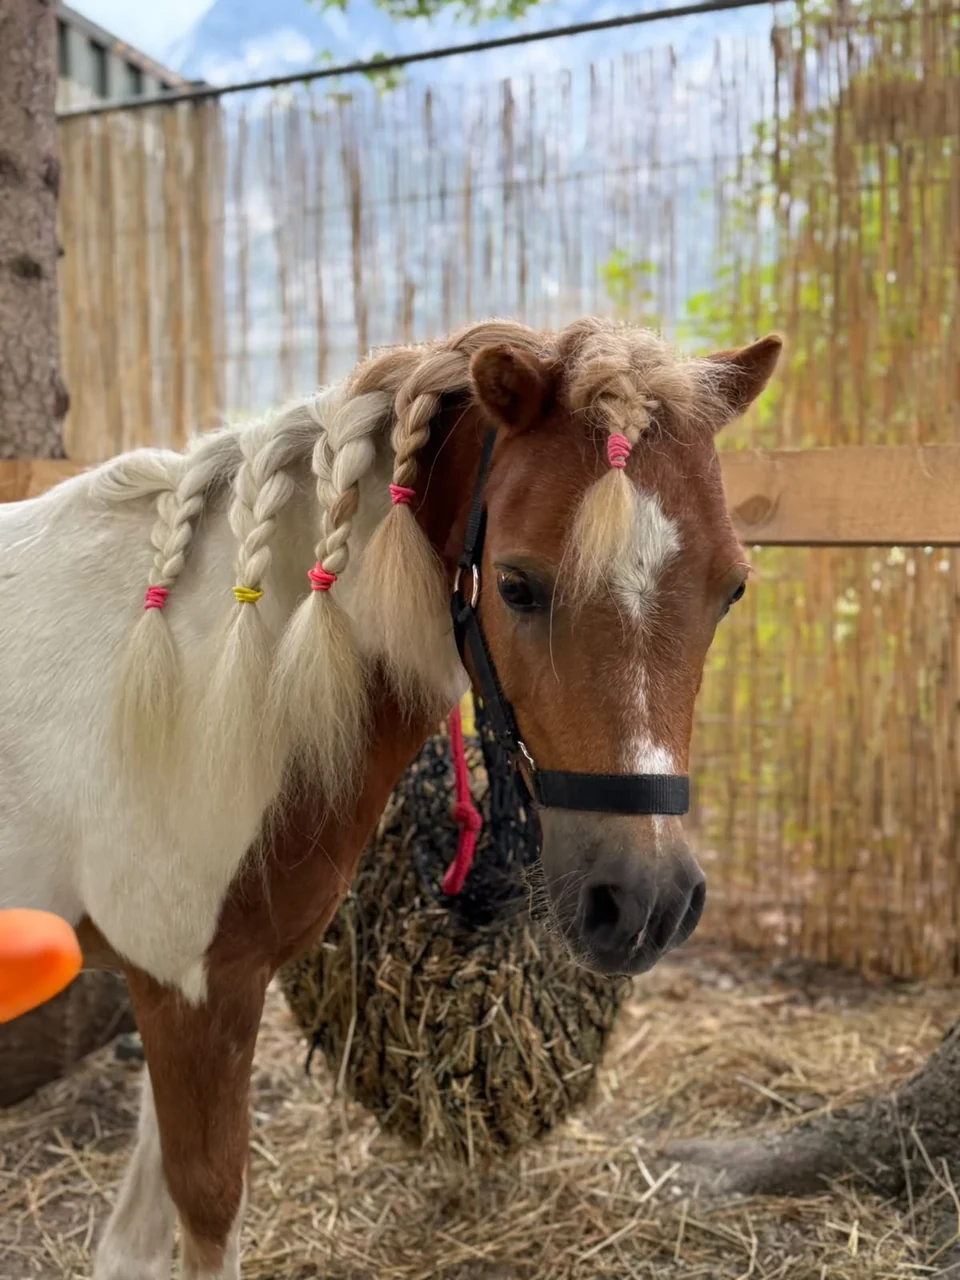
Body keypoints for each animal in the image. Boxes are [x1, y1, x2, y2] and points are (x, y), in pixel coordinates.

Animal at [0, 316, 780, 1278]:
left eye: (731, 588)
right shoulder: (192, 993)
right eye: (516, 584)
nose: (647, 903)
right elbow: (205, 1206)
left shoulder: (183, 988)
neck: (212, 669)